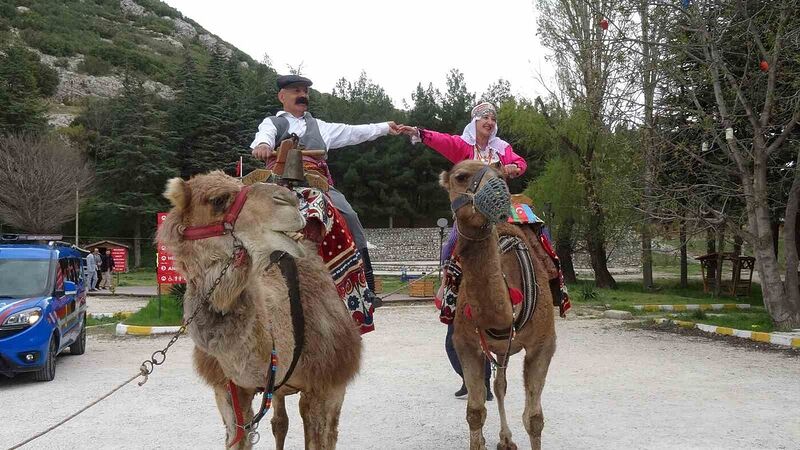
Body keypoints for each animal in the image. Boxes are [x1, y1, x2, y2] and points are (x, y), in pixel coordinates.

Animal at [157, 171, 362, 448]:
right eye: (218, 200)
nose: (287, 200)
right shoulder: (228, 389)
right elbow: (239, 436)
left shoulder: (327, 383)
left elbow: (322, 437)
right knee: (280, 421)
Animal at [438, 161, 556, 450]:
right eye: (461, 176)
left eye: (501, 175)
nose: (499, 191)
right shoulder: (466, 343)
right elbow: (475, 412)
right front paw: (478, 440)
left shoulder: (544, 344)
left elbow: (534, 418)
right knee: (498, 385)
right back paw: (502, 439)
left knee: (501, 385)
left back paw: (506, 439)